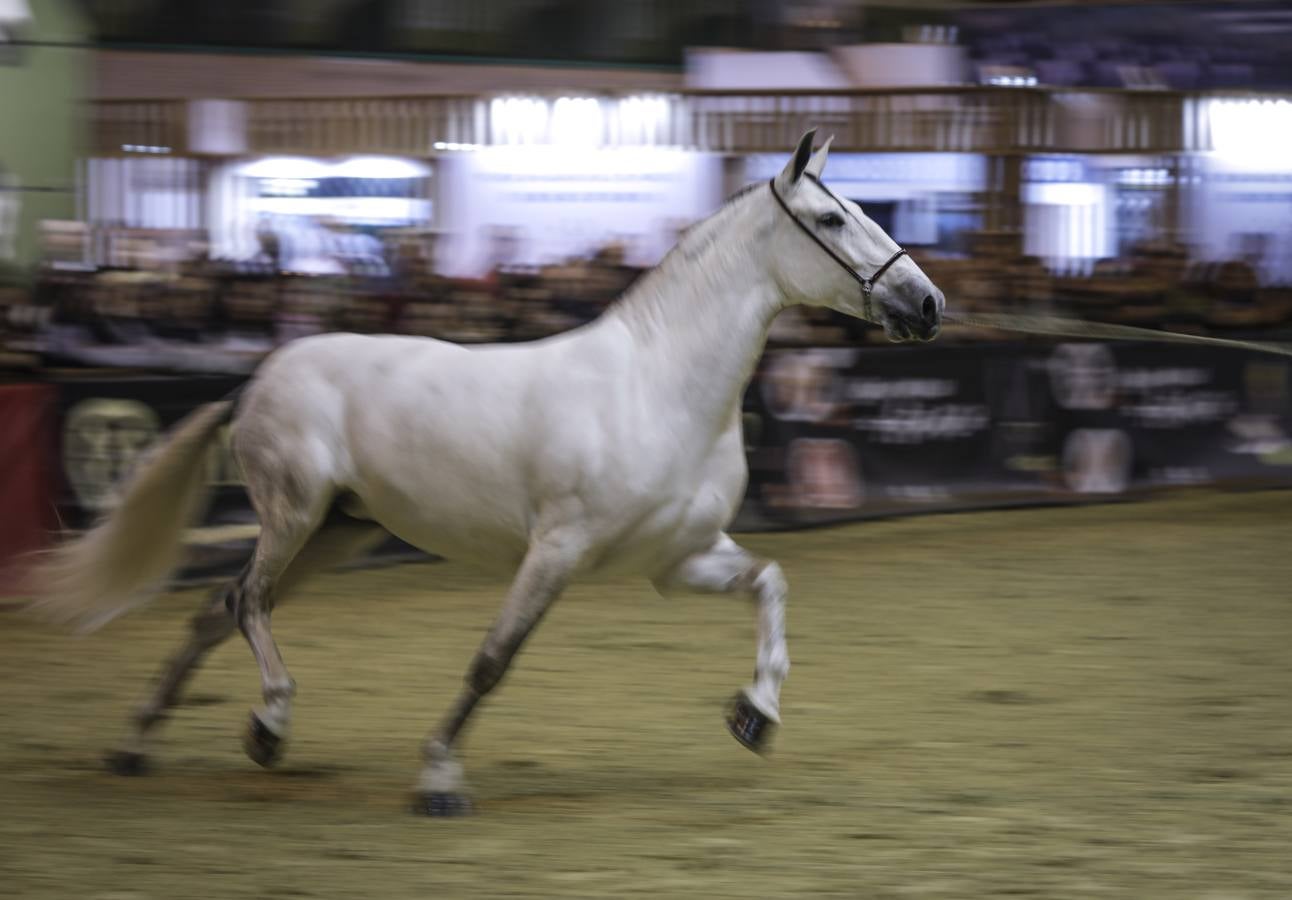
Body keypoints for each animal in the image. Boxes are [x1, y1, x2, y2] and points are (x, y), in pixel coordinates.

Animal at [27, 130, 945, 815]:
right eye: (830, 219)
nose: (928, 304)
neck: (656, 387)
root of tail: (254, 378)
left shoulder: (675, 558)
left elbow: (770, 582)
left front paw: (754, 716)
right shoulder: (557, 549)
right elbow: (491, 662)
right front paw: (438, 779)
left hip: (338, 532)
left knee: (217, 610)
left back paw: (139, 744)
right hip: (293, 512)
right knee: (245, 601)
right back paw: (269, 725)